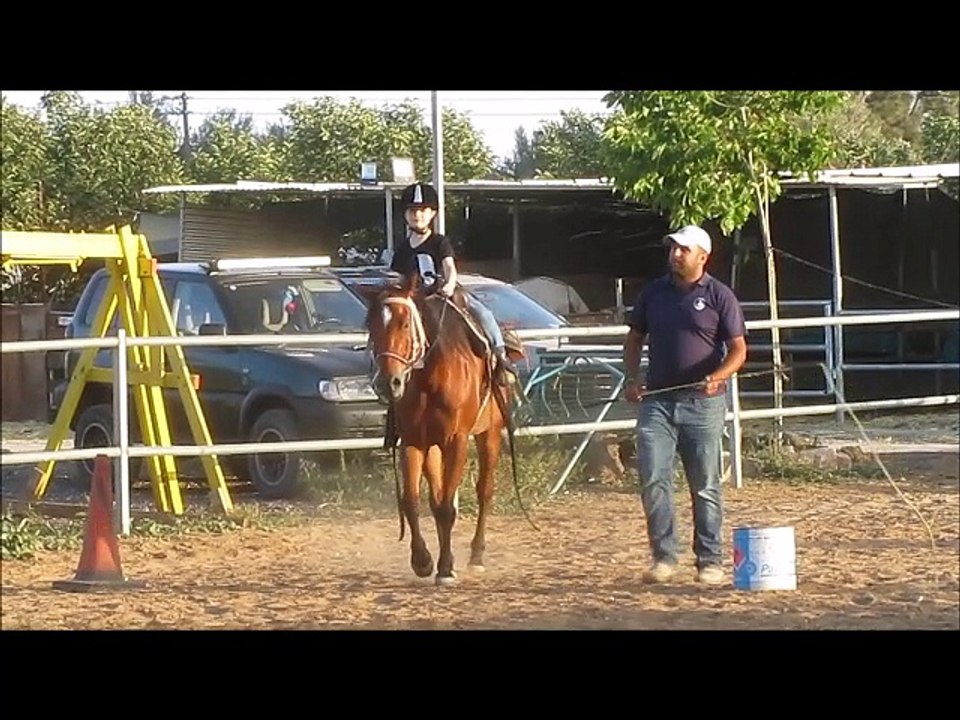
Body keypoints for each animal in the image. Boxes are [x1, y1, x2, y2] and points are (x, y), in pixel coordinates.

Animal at [363, 273, 531, 586]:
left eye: (405, 323)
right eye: (371, 325)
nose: (388, 382)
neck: (430, 378)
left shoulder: (457, 441)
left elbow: (446, 509)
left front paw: (444, 568)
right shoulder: (413, 442)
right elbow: (413, 502)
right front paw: (423, 561)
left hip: (489, 434)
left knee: (484, 491)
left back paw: (476, 556)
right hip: (432, 447)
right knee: (436, 496)